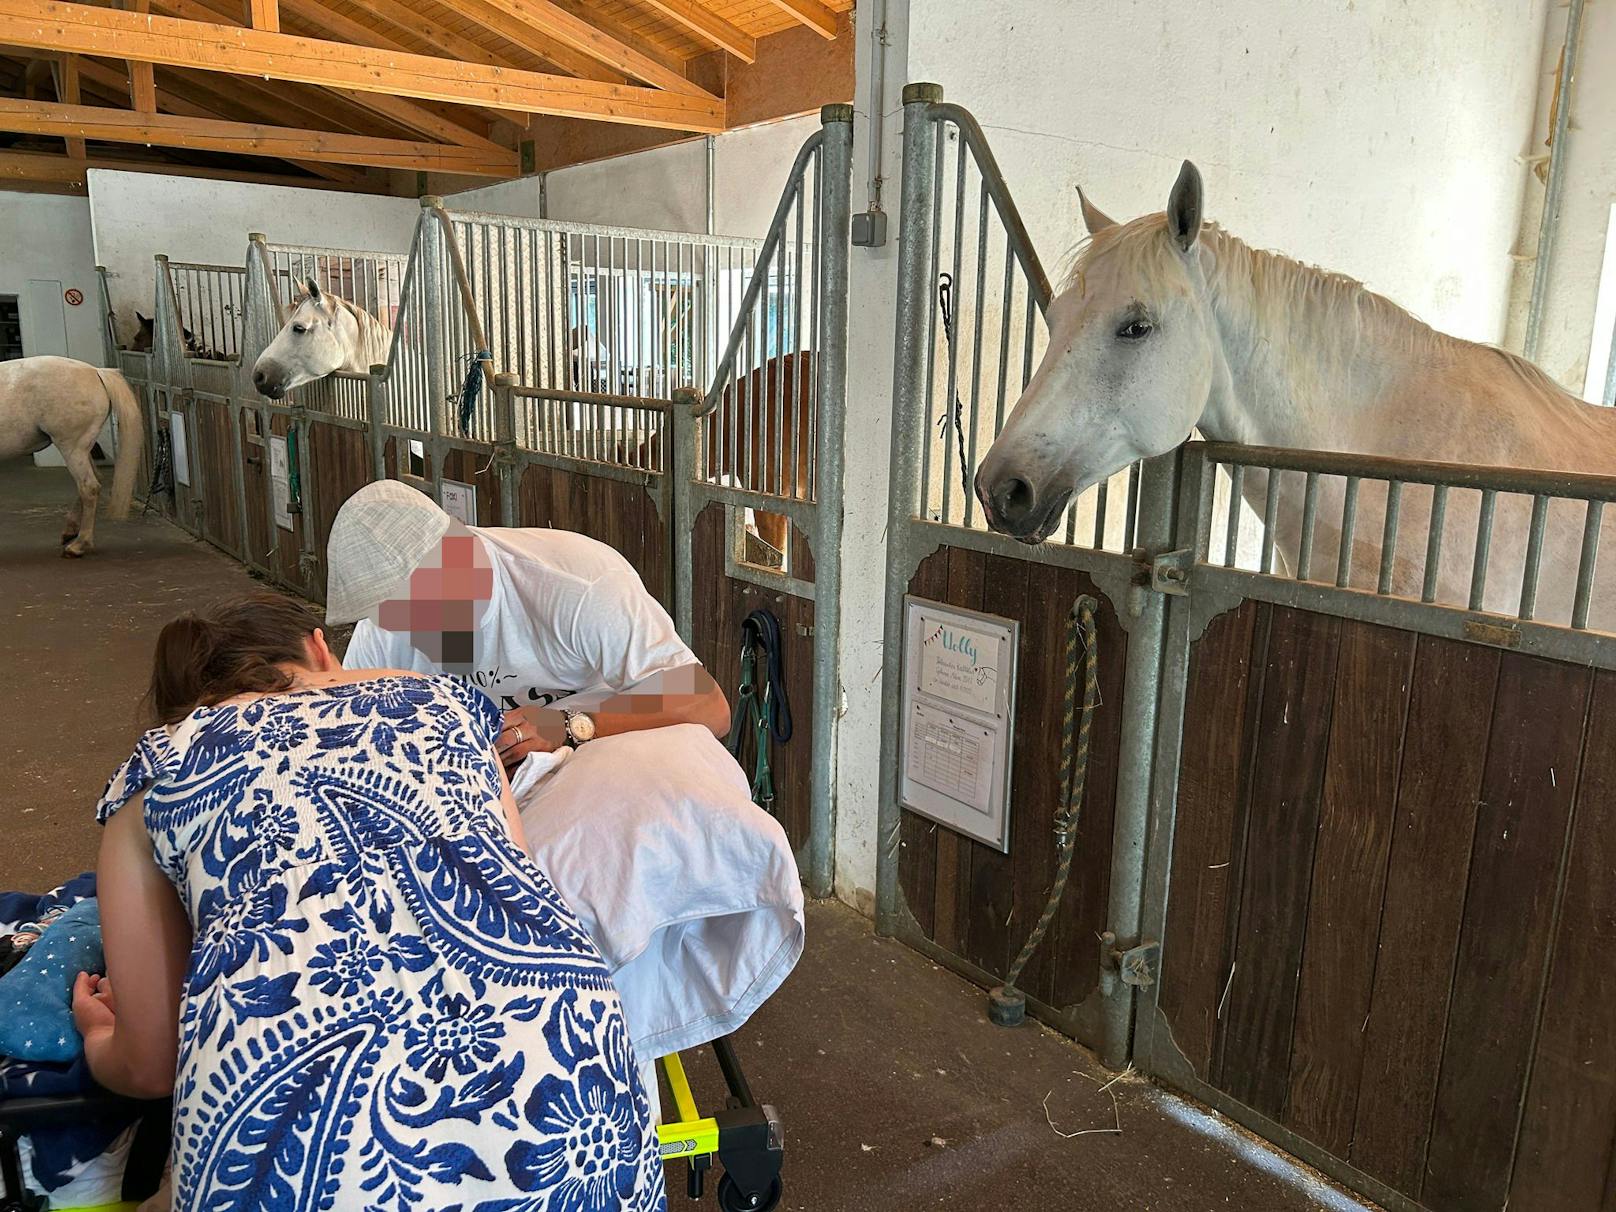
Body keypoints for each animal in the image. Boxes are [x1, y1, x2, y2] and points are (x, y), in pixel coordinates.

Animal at [0, 353, 145, 559]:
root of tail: (96, 372)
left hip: (72, 448)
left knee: (89, 487)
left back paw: (78, 545)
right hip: (82, 449)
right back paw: (70, 531)